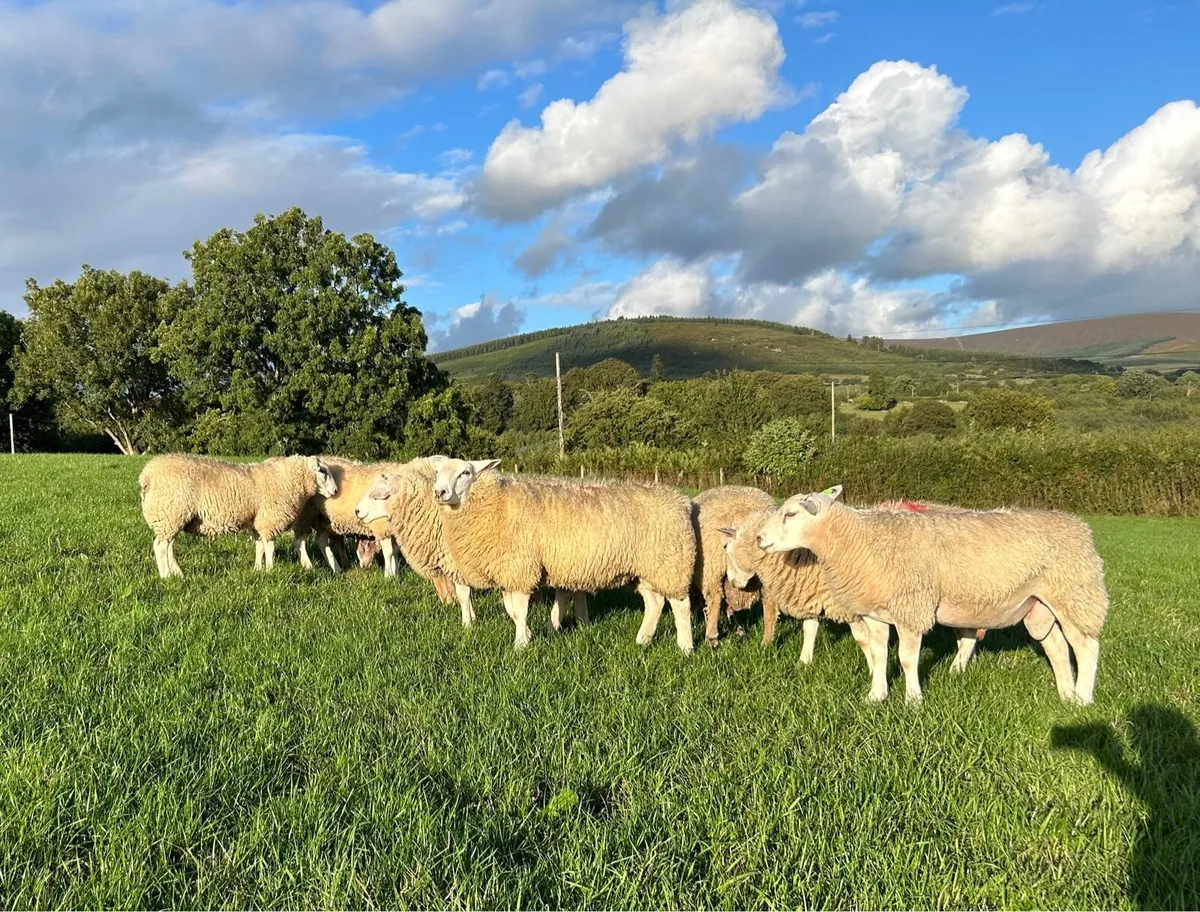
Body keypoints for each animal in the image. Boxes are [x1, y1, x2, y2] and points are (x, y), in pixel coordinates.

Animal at [139, 454, 337, 578]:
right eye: (322, 471)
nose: (335, 491)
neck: (287, 479)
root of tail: (146, 474)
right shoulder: (269, 521)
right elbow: (270, 548)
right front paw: (270, 570)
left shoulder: (257, 522)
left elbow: (259, 547)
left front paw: (258, 569)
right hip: (169, 513)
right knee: (160, 547)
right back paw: (166, 576)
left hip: (173, 518)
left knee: (169, 547)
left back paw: (178, 573)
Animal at [431, 459, 695, 652]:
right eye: (436, 472)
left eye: (465, 472)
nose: (439, 492)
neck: (496, 505)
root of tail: (679, 501)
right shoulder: (509, 571)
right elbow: (510, 609)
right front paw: (528, 634)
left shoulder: (520, 566)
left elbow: (519, 610)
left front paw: (520, 644)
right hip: (647, 568)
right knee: (655, 602)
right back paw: (643, 639)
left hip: (671, 562)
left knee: (680, 605)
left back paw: (685, 647)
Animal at [756, 485, 1109, 705]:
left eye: (791, 514)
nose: (759, 538)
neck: (860, 540)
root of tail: (1079, 525)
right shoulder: (875, 612)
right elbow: (879, 655)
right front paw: (876, 696)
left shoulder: (911, 608)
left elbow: (906, 658)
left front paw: (913, 700)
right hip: (1038, 606)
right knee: (1057, 649)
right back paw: (1065, 695)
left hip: (1076, 595)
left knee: (1086, 647)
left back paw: (1082, 699)